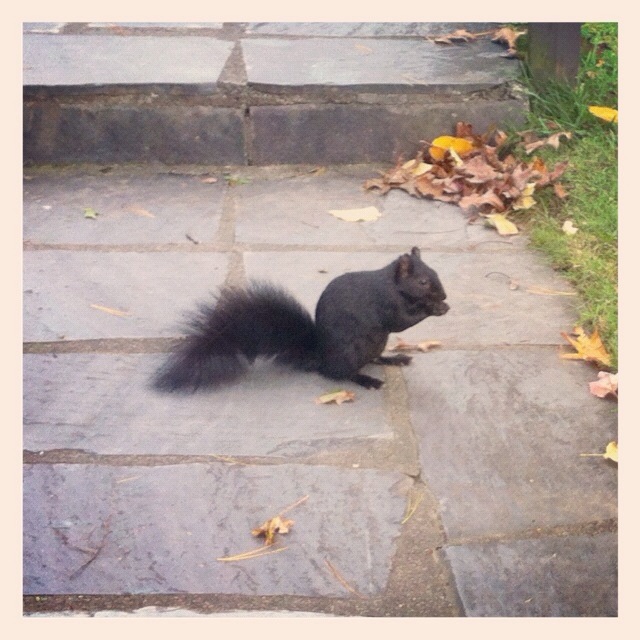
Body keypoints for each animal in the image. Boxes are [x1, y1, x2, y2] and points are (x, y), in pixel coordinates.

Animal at [153, 247, 448, 392]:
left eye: (436, 272)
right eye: (423, 282)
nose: (444, 294)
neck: (393, 284)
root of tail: (321, 357)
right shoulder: (387, 303)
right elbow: (402, 320)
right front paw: (436, 307)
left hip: (374, 345)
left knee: (373, 359)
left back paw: (394, 358)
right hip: (348, 354)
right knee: (340, 374)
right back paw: (367, 380)